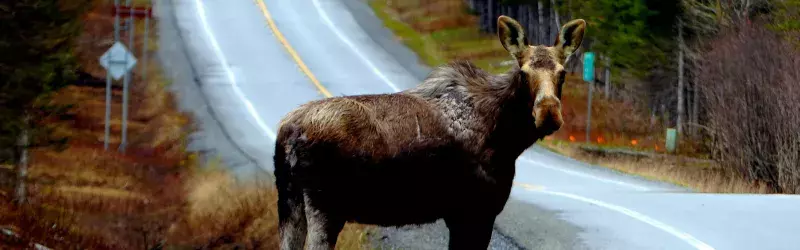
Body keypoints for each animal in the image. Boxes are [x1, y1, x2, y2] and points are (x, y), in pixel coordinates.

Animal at [276, 16, 588, 250]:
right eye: (523, 73)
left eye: (562, 73)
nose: (548, 113)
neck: (507, 139)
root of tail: (287, 135)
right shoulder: (475, 212)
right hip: (325, 207)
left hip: (290, 204)